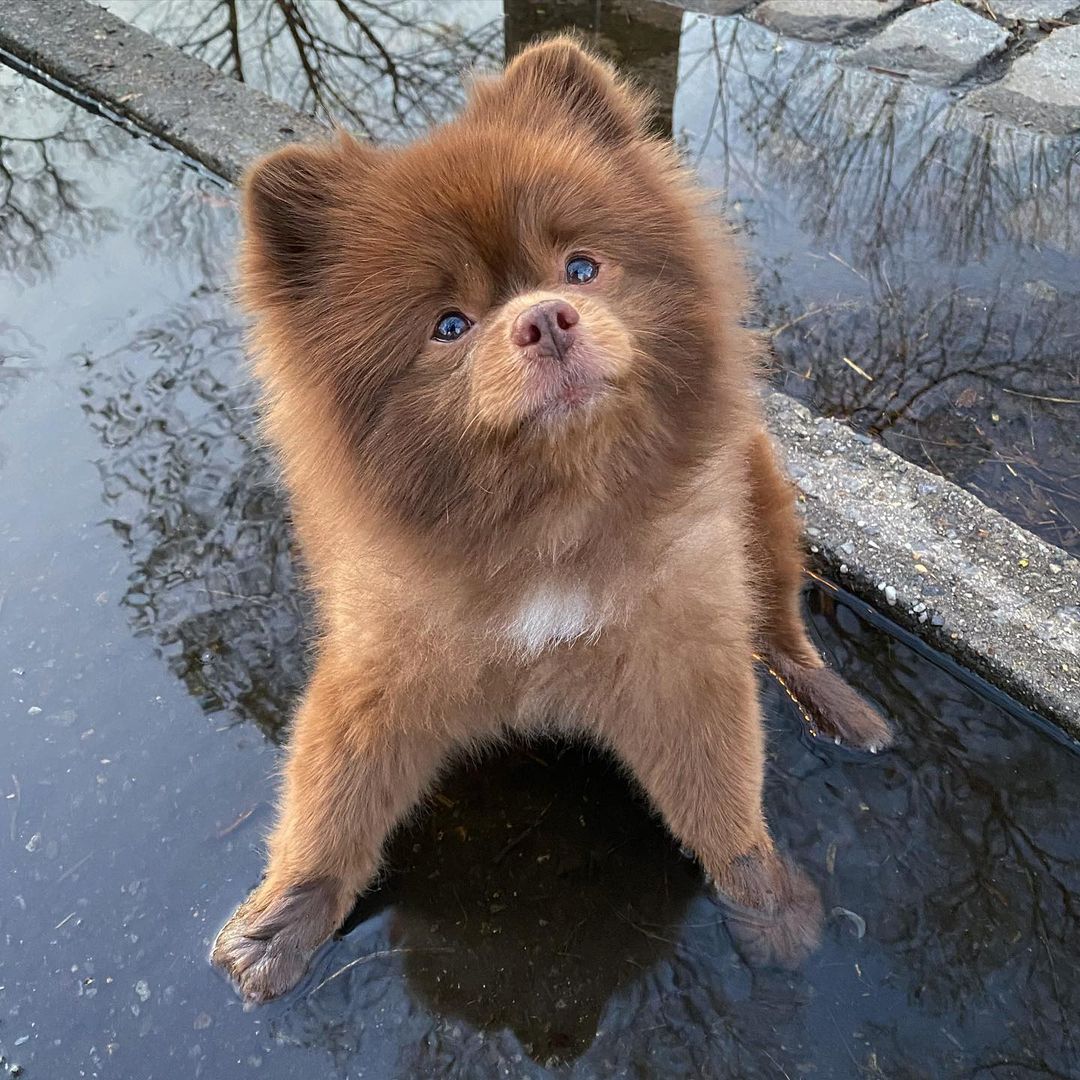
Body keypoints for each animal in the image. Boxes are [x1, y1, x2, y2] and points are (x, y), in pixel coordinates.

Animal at [210, 39, 894, 1002]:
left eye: (580, 268)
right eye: (449, 326)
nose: (544, 318)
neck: (551, 526)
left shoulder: (680, 656)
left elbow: (719, 789)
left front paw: (763, 898)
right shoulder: (380, 673)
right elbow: (333, 799)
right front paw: (280, 922)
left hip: (760, 501)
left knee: (784, 631)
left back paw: (843, 712)